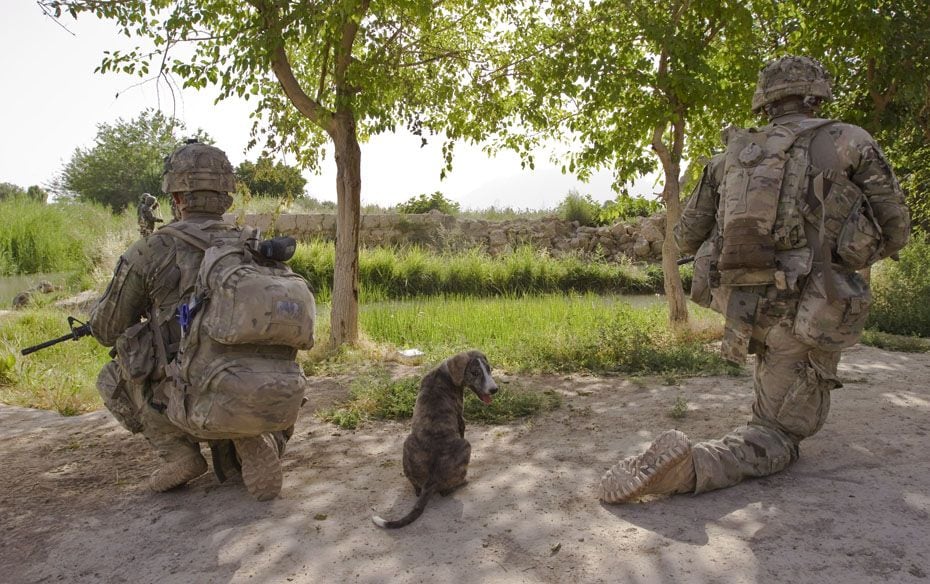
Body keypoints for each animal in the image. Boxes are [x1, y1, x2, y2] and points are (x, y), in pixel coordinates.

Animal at [372, 350, 496, 532]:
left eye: (489, 369)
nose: (495, 390)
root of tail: (431, 482)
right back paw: (463, 482)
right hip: (466, 446)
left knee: (416, 487)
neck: (445, 372)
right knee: (446, 491)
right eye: (475, 373)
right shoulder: (461, 420)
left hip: (407, 443)